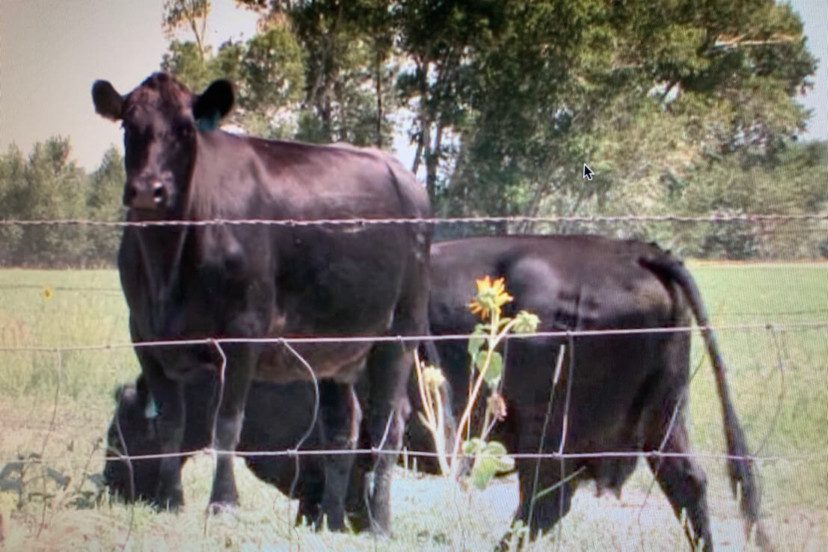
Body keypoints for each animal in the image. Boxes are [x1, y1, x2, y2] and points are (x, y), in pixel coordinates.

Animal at [91, 71, 434, 532]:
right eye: (129, 126)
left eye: (185, 130)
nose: (148, 190)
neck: (169, 263)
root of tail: (404, 177)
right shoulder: (145, 335)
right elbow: (171, 423)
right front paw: (169, 500)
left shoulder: (243, 334)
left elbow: (226, 424)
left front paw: (223, 503)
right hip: (335, 350)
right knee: (342, 429)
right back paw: (330, 521)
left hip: (399, 335)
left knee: (386, 426)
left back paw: (379, 523)